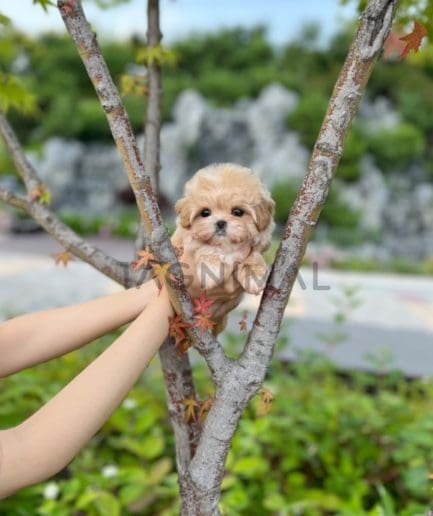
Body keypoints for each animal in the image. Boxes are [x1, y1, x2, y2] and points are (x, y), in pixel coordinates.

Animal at [171, 163, 274, 332]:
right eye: (205, 212)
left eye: (237, 212)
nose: (220, 222)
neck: (226, 247)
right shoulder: (190, 241)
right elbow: (206, 248)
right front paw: (212, 269)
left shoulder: (255, 247)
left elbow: (254, 257)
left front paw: (253, 276)